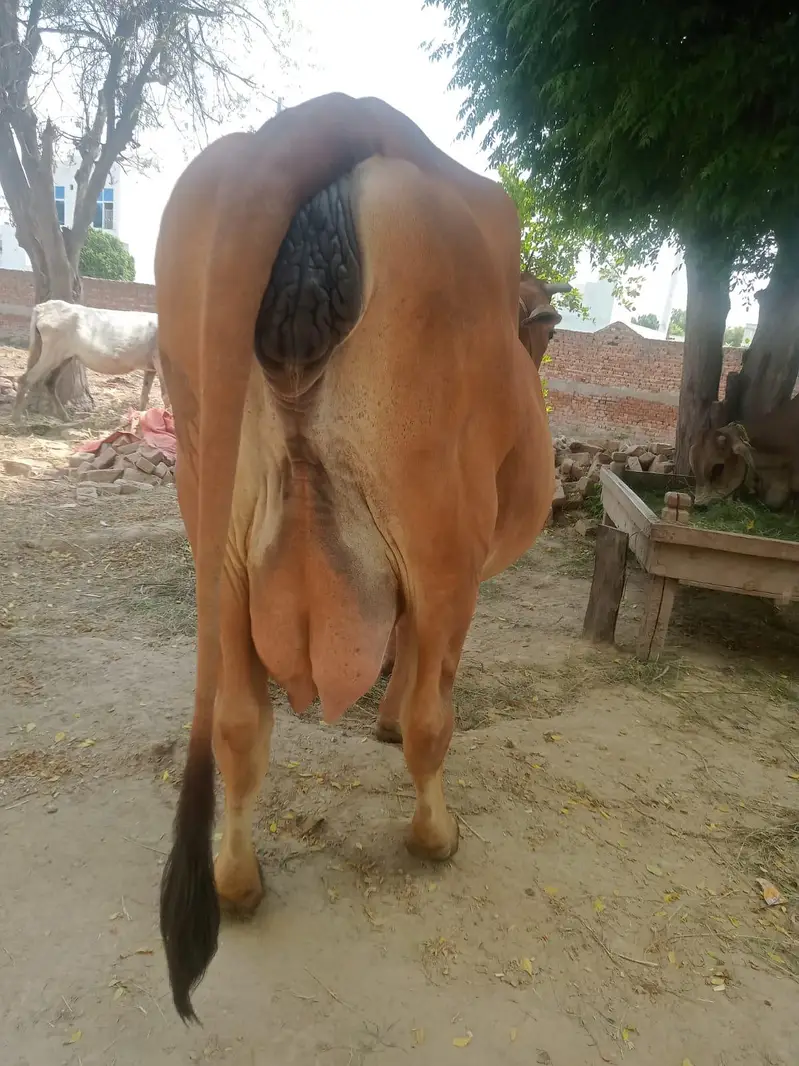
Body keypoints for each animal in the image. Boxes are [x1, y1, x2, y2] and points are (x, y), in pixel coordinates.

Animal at [11, 300, 169, 422]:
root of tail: (42, 308)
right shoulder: (161, 364)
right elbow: (166, 395)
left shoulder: (150, 368)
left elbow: (144, 396)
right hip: (52, 353)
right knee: (26, 379)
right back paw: (17, 419)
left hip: (64, 357)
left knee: (49, 382)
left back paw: (65, 417)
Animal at [155, 93, 555, 1021]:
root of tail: (328, 113)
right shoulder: (455, 572)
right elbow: (426, 677)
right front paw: (389, 720)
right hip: (442, 539)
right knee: (434, 721)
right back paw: (435, 835)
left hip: (217, 539)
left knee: (237, 721)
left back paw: (237, 881)